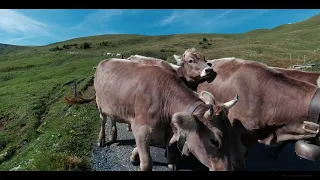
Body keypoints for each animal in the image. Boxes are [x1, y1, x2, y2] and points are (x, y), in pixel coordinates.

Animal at [64, 59, 238, 172]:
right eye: (214, 141)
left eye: (230, 135)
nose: (227, 170)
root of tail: (104, 60)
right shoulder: (140, 128)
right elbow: (147, 163)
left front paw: (134, 155)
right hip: (100, 103)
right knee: (103, 119)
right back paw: (102, 139)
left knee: (112, 118)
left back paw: (113, 135)